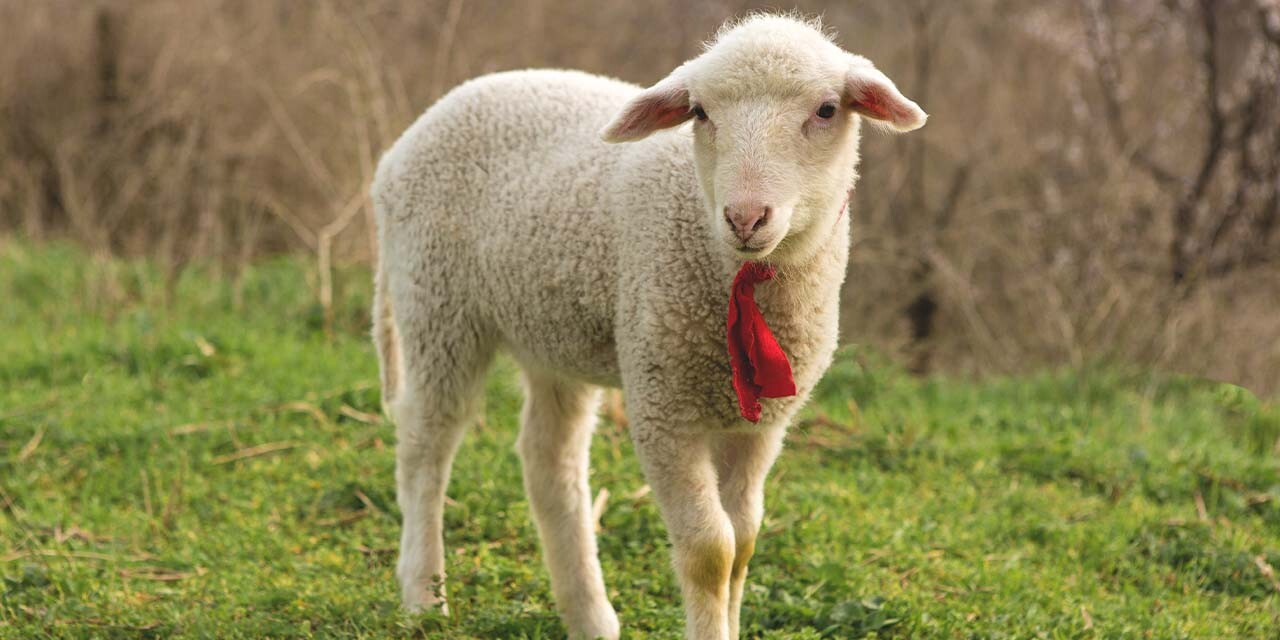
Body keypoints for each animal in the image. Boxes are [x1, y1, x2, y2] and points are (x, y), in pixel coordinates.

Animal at [371, 13, 926, 640]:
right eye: (701, 112)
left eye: (827, 110)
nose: (745, 217)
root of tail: (406, 141)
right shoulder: (664, 407)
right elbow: (711, 551)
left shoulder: (760, 424)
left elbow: (743, 544)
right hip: (435, 302)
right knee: (426, 444)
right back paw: (423, 595)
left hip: (550, 331)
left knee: (548, 460)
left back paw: (589, 615)